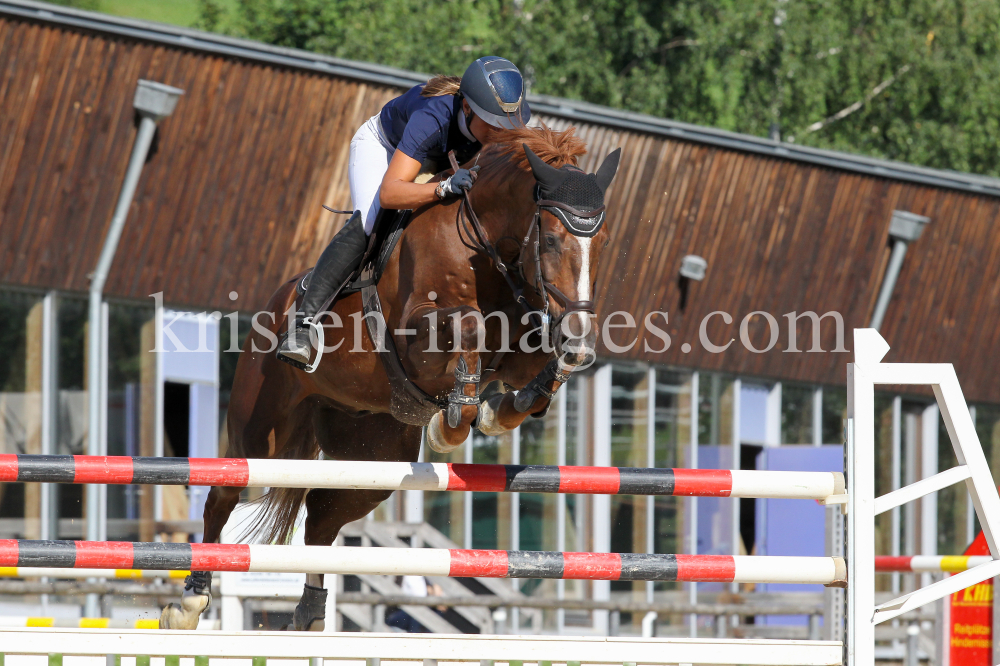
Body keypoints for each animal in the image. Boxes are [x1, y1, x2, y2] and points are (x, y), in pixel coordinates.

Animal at [160, 124, 620, 628]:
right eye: (552, 240)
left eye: (601, 243)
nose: (580, 341)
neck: (485, 250)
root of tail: (276, 304)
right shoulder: (418, 338)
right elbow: (469, 327)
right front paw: (450, 424)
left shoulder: (521, 344)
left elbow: (536, 366)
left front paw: (503, 408)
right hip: (260, 430)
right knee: (224, 493)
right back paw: (190, 602)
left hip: (373, 453)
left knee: (321, 517)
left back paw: (310, 613)